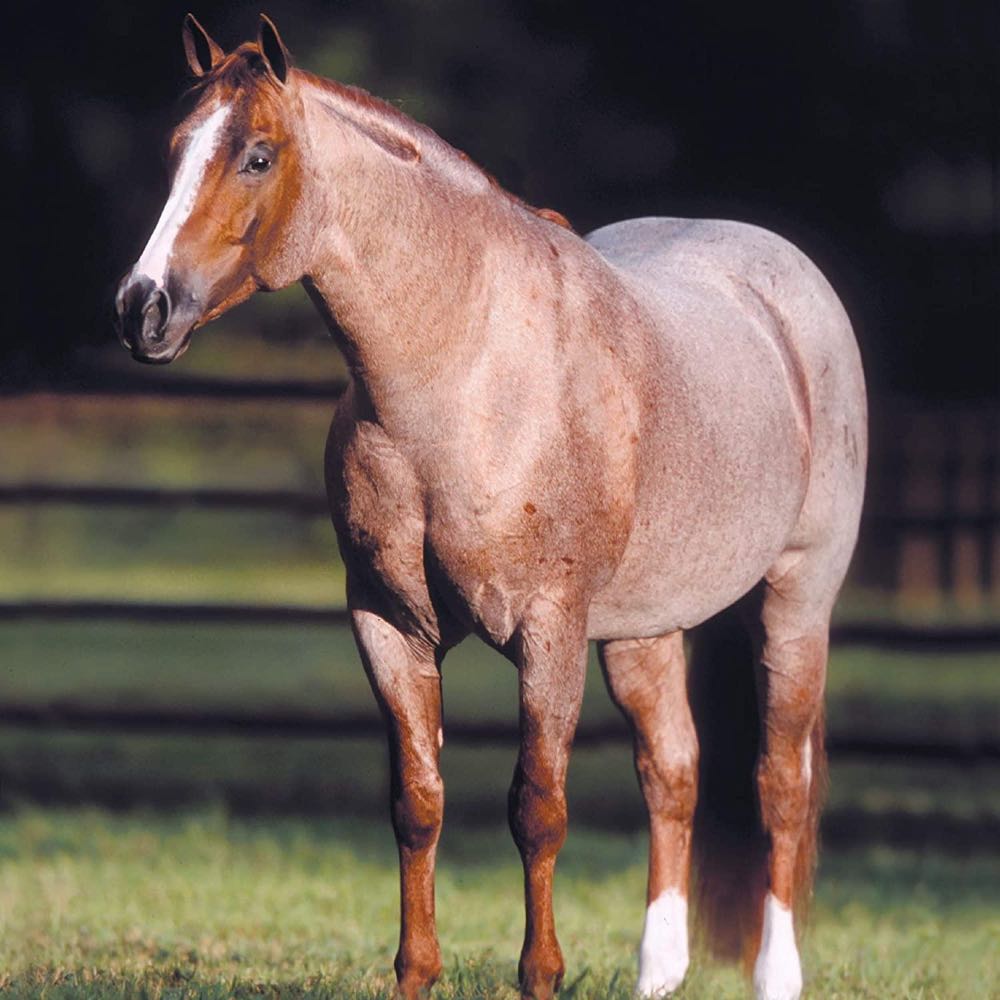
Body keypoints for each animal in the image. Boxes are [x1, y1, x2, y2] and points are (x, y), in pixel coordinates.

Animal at [114, 16, 867, 1000]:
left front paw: (539, 974)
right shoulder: (390, 625)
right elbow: (418, 801)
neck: (462, 379)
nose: (143, 309)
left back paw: (776, 973)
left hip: (794, 604)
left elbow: (537, 807)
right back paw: (658, 973)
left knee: (779, 780)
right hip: (644, 631)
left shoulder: (548, 633)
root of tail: (789, 286)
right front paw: (415, 972)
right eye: (175, 151)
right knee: (673, 772)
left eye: (256, 156)